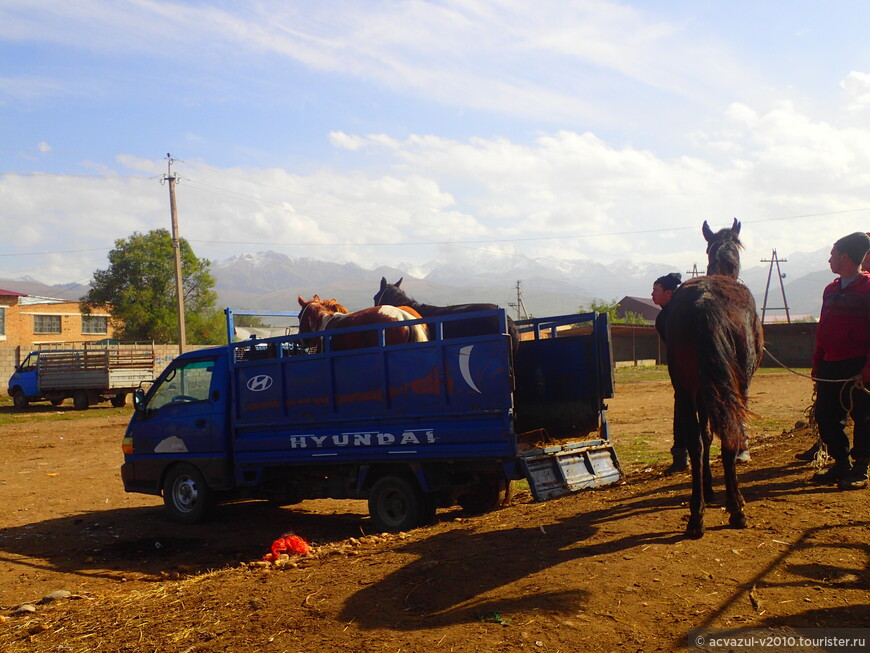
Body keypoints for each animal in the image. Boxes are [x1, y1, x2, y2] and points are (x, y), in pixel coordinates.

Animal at [668, 216, 764, 536]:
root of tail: (704, 302)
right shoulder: (741, 385)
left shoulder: (701, 392)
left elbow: (705, 436)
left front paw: (708, 490)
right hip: (732, 386)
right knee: (729, 436)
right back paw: (736, 509)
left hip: (685, 389)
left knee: (696, 442)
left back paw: (696, 515)